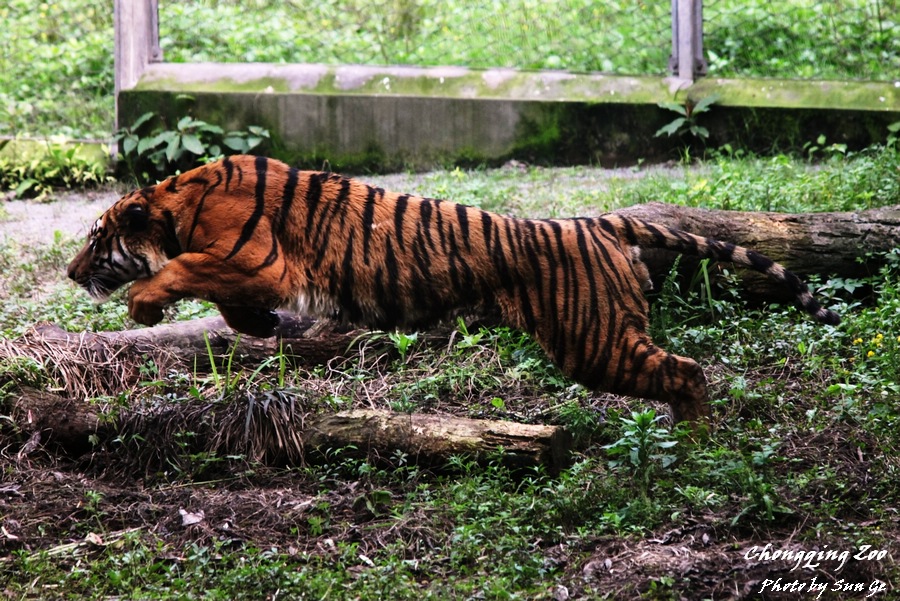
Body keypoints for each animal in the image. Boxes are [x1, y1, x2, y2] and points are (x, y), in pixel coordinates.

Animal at [67, 155, 840, 426]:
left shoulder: (259, 260)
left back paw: (701, 440)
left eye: (95, 238)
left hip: (593, 340)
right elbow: (224, 297)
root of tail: (593, 222)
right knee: (680, 368)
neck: (174, 207)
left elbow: (183, 270)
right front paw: (256, 327)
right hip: (602, 337)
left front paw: (144, 302)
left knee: (688, 368)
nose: (72, 273)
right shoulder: (250, 270)